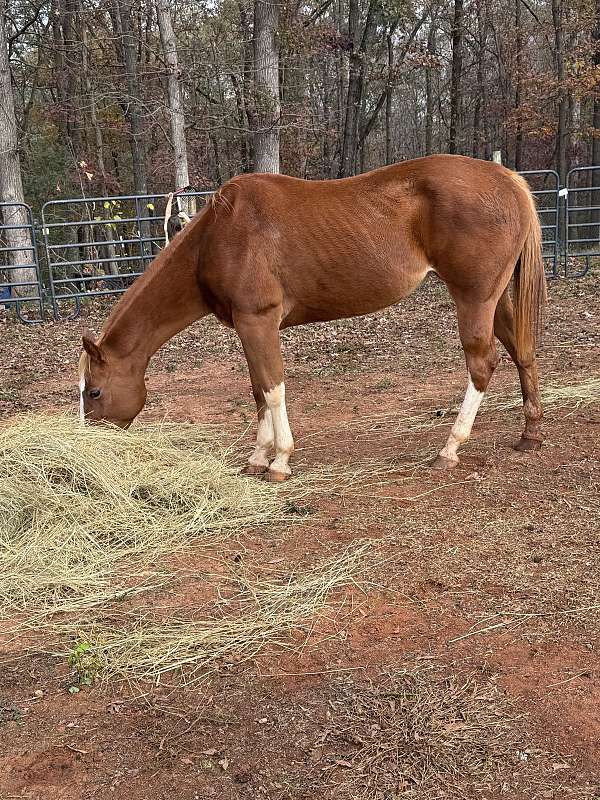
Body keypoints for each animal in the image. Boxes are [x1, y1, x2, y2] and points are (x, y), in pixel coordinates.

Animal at [77, 156, 548, 482]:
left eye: (94, 392)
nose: (91, 444)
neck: (218, 236)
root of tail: (508, 180)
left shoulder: (258, 322)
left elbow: (272, 389)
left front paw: (280, 461)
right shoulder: (249, 329)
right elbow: (258, 390)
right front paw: (257, 457)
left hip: (474, 298)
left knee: (482, 364)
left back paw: (450, 448)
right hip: (496, 299)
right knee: (522, 351)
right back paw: (530, 435)